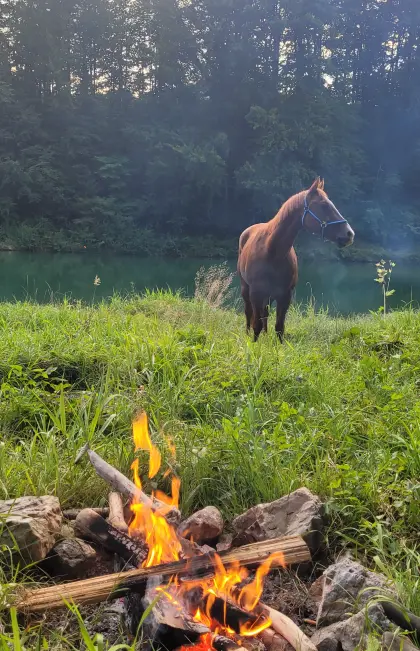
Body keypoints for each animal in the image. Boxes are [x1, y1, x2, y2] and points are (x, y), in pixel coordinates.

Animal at [237, 178, 355, 342]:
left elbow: (279, 327)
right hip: (246, 288)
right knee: (249, 313)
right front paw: (253, 345)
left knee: (265, 315)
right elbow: (256, 325)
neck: (272, 251)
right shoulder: (256, 294)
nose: (349, 234)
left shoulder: (285, 296)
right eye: (324, 205)